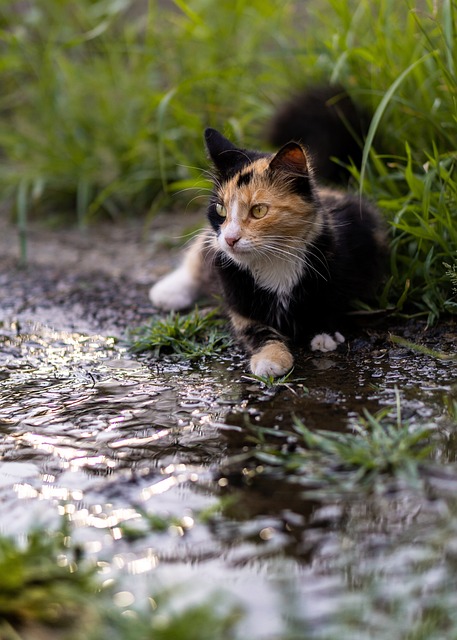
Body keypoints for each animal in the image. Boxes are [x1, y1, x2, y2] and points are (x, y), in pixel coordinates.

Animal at [150, 95, 384, 378]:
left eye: (258, 210)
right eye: (221, 209)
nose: (230, 238)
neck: (274, 262)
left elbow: (331, 302)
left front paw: (324, 334)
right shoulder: (239, 302)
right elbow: (258, 332)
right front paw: (271, 360)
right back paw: (168, 291)